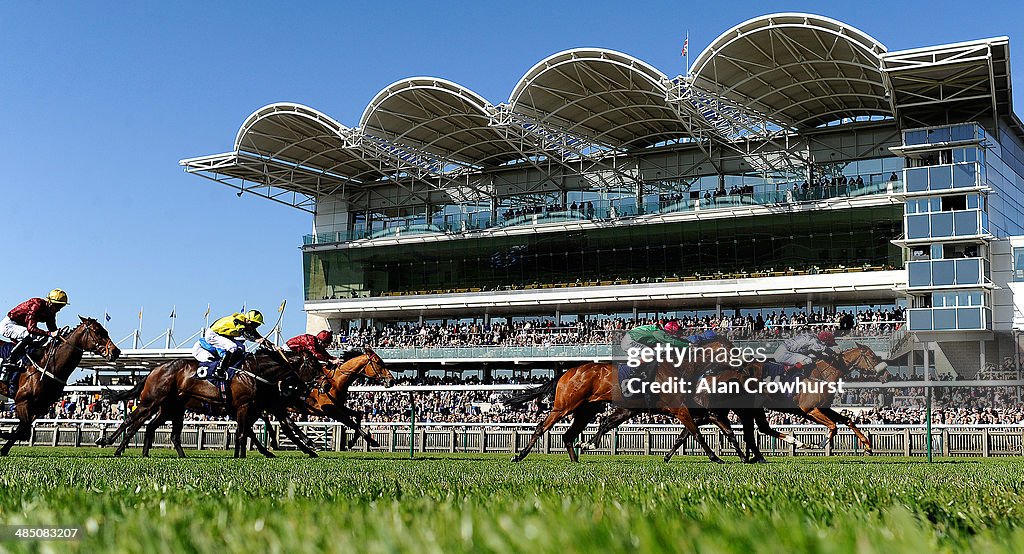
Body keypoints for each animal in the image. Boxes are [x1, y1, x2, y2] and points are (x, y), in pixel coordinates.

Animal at [0, 317, 119, 456]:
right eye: (97, 331)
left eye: (105, 331)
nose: (116, 351)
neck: (49, 365)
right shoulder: (22, 401)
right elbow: (23, 431)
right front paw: (3, 436)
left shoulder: (40, 406)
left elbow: (23, 430)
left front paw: (4, 448)